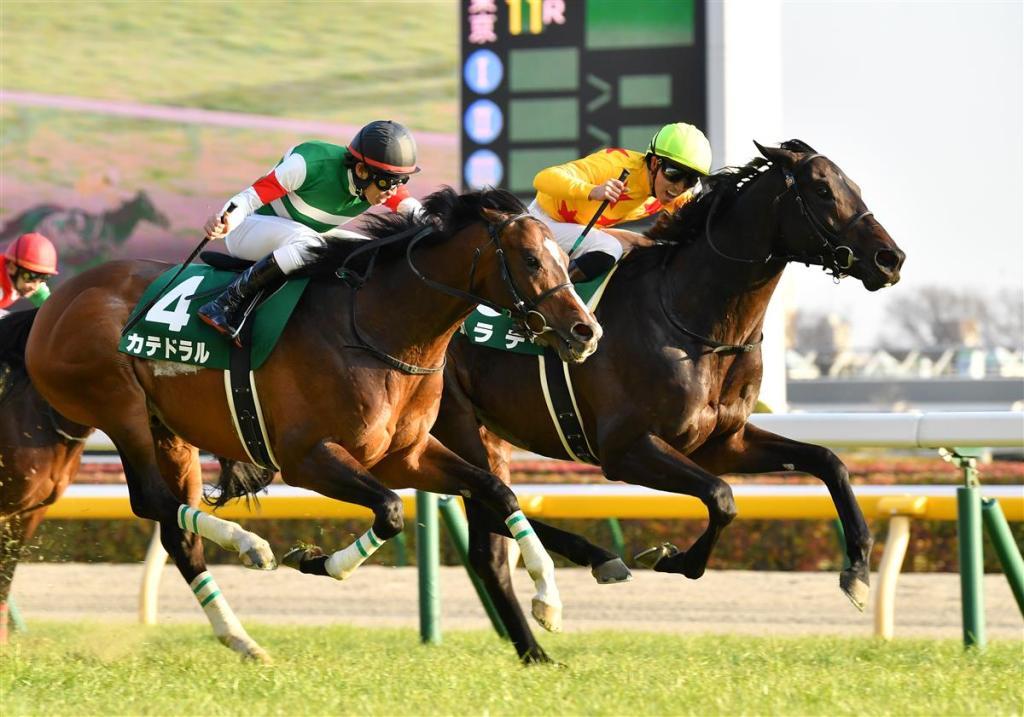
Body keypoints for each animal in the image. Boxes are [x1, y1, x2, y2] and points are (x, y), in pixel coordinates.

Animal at [24, 187, 602, 663]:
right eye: (531, 259)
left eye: (565, 259)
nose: (585, 330)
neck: (376, 327)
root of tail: (56, 301)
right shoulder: (307, 458)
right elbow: (391, 512)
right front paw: (316, 562)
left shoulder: (406, 455)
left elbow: (497, 491)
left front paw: (549, 600)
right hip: (117, 403)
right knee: (151, 500)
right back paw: (249, 546)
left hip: (170, 431)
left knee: (177, 533)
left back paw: (243, 639)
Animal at [432, 140, 906, 658]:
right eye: (822, 189)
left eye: (853, 185)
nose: (891, 258)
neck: (696, 322)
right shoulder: (624, 450)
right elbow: (722, 498)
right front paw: (671, 558)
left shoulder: (724, 443)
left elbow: (828, 462)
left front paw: (857, 570)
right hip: (454, 422)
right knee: (489, 507)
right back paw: (596, 562)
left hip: (488, 432)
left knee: (489, 540)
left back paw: (537, 646)